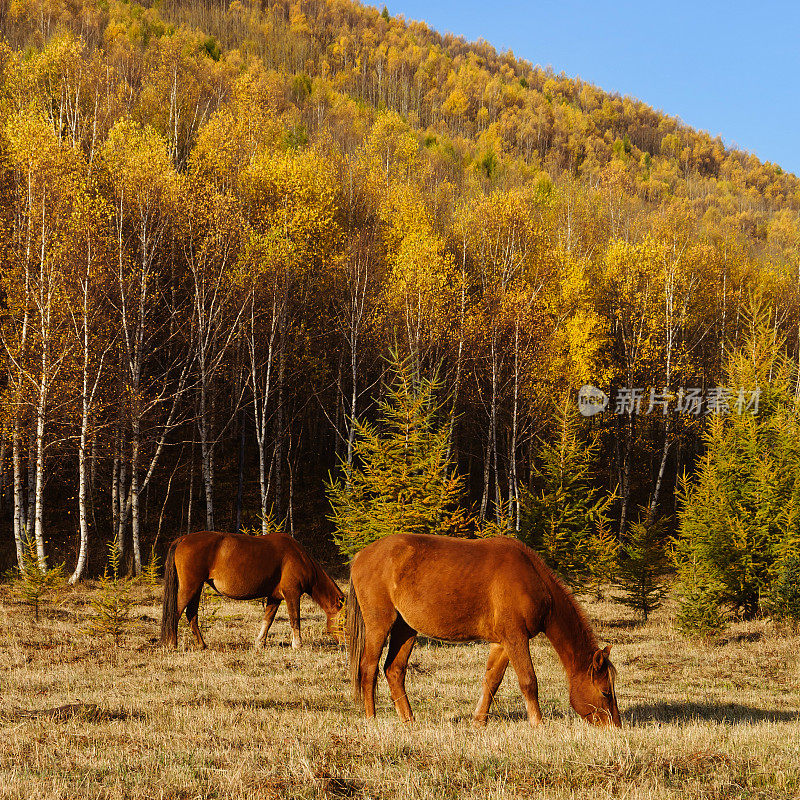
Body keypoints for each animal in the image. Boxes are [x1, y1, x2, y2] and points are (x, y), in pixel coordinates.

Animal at [159, 532, 344, 648]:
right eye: (343, 622)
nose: (345, 644)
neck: (299, 556)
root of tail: (183, 539)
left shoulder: (275, 597)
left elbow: (267, 620)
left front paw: (259, 642)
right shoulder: (292, 594)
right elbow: (295, 619)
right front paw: (297, 644)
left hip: (196, 588)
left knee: (191, 615)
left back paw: (201, 644)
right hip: (190, 587)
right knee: (175, 613)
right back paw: (172, 643)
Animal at [346, 536, 620, 728]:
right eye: (605, 692)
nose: (615, 726)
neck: (534, 581)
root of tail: (361, 555)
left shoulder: (503, 642)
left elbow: (492, 681)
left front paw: (479, 720)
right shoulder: (515, 637)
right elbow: (529, 681)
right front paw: (538, 723)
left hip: (406, 628)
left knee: (394, 670)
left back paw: (408, 720)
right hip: (379, 624)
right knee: (368, 668)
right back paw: (371, 718)